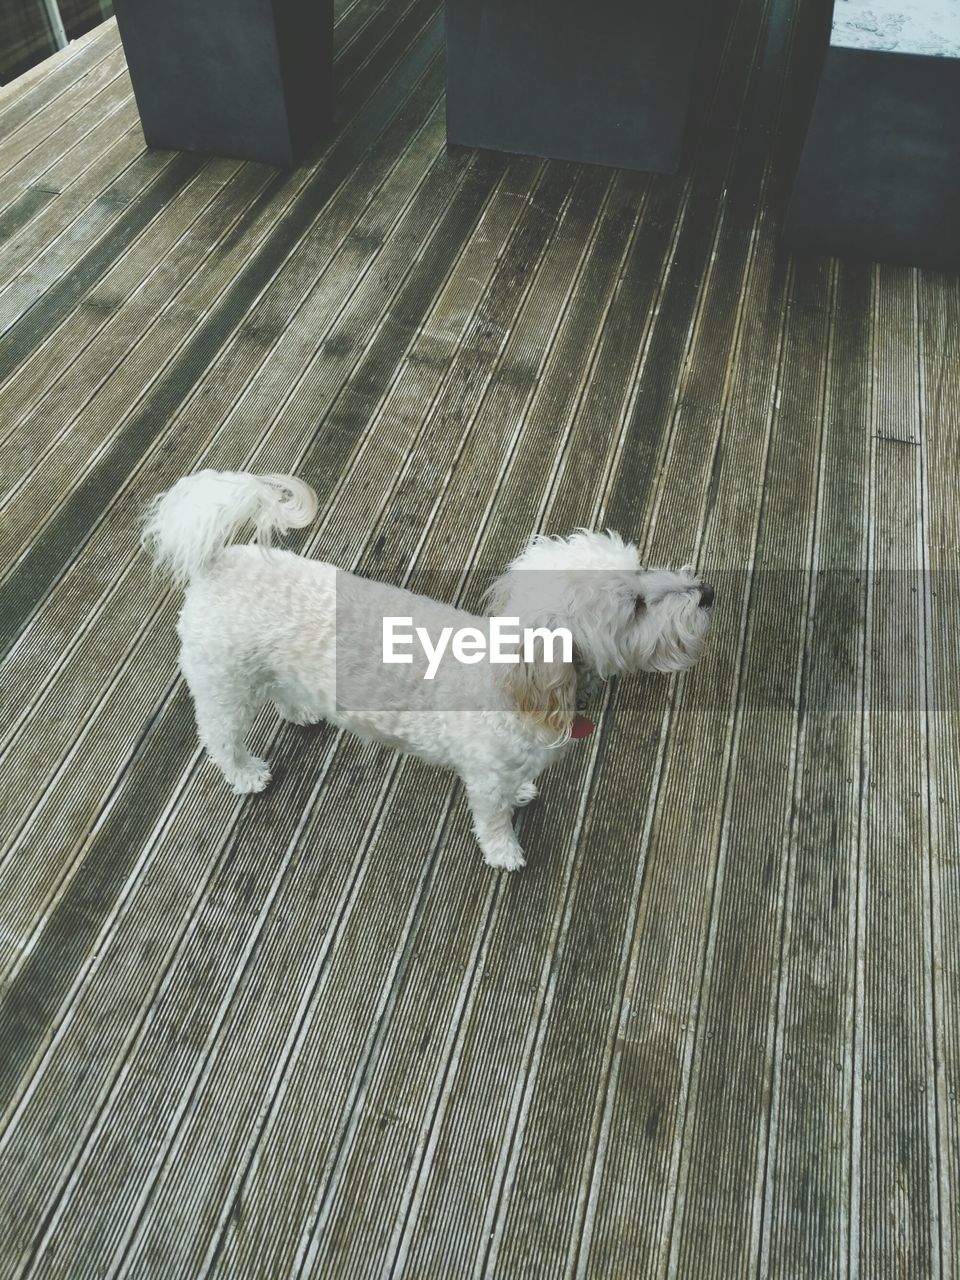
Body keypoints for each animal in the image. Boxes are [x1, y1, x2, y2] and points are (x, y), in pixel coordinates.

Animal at [144, 471, 716, 870]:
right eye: (635, 606)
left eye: (642, 568)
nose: (708, 592)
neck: (520, 685)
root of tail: (216, 563)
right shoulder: (485, 781)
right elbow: (494, 821)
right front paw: (505, 854)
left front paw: (525, 793)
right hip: (224, 688)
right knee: (220, 738)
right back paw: (245, 774)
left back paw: (301, 711)